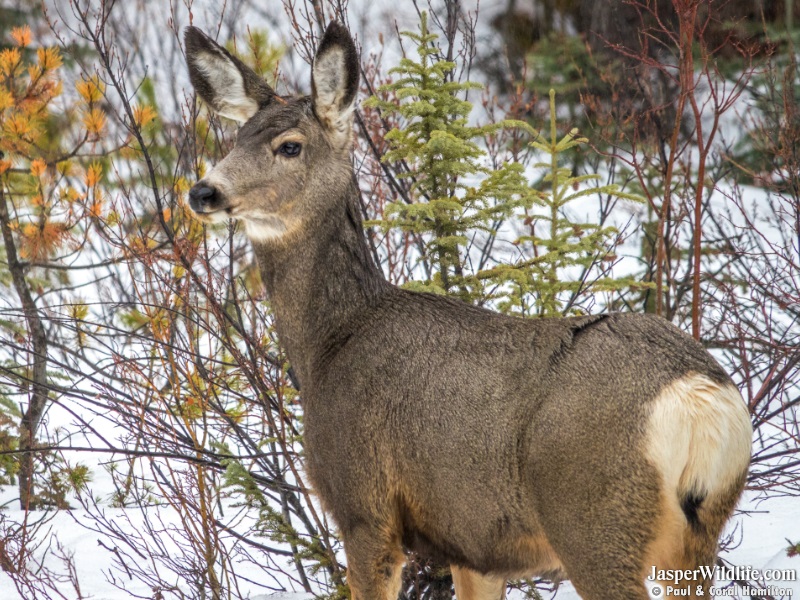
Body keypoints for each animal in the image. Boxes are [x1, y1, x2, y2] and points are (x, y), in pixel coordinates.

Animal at [184, 22, 752, 600]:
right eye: (234, 141)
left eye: (290, 146)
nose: (204, 191)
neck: (330, 344)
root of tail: (701, 399)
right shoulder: (474, 542)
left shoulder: (364, 505)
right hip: (694, 539)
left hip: (594, 521)